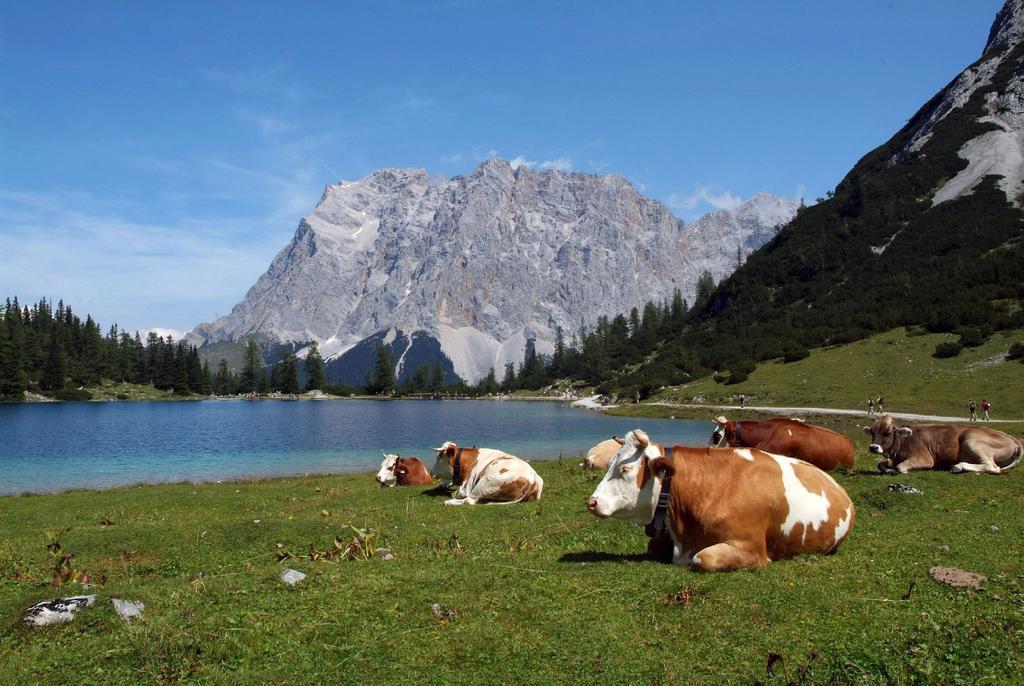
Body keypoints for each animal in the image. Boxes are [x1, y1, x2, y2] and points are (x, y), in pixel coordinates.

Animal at [585, 432, 856, 573]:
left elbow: (704, 559)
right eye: (611, 464)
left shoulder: (751, 547)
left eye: (625, 469)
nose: (592, 502)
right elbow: (653, 546)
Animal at [864, 415, 1024, 475]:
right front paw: (888, 468)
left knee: (992, 467)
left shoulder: (925, 459)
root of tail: (1013, 438)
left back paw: (958, 466)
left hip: (970, 440)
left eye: (887, 432)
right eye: (872, 432)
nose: (873, 447)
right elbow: (881, 464)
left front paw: (894, 469)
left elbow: (900, 467)